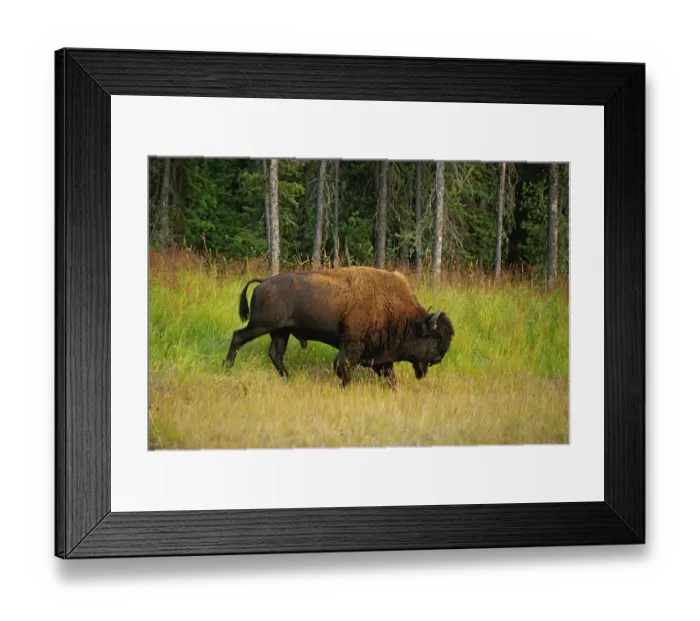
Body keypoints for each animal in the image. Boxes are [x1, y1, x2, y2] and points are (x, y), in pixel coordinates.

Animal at [223, 266, 454, 387]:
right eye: (435, 338)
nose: (438, 359)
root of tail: (264, 281)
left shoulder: (380, 354)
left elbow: (389, 374)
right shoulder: (352, 346)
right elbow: (344, 368)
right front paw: (345, 387)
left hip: (281, 332)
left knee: (275, 354)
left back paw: (288, 378)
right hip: (261, 326)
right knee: (238, 337)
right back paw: (227, 367)